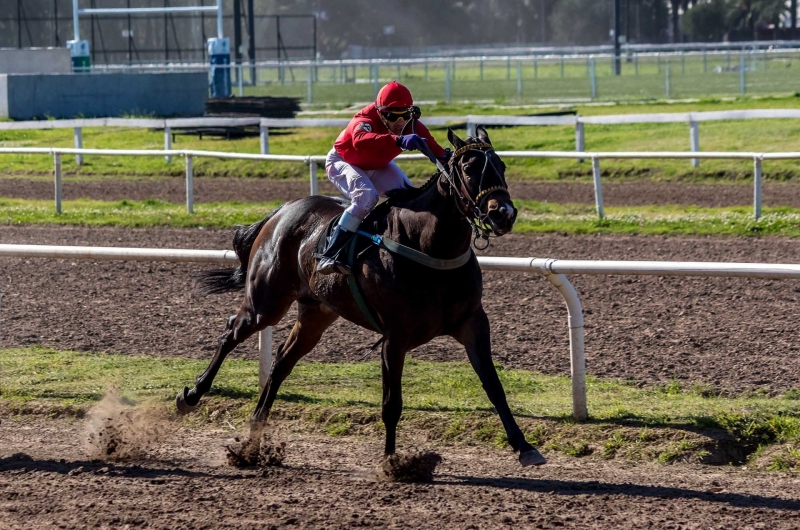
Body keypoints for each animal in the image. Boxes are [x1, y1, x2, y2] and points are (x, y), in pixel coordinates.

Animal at [177, 127, 548, 466]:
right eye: (470, 168)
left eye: (501, 165)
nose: (503, 213)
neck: (429, 247)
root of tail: (279, 213)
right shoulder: (395, 335)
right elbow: (391, 402)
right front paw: (392, 462)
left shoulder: (472, 322)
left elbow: (494, 386)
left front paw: (525, 447)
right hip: (266, 303)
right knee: (232, 331)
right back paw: (191, 395)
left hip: (316, 313)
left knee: (281, 362)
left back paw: (253, 439)